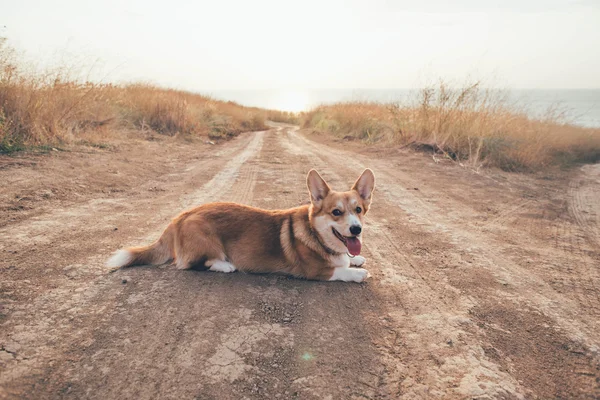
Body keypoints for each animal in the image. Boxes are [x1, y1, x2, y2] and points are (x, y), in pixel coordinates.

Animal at [105, 168, 372, 282]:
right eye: (336, 212)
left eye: (358, 210)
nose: (356, 229)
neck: (316, 233)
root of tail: (179, 217)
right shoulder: (315, 271)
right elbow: (340, 271)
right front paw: (357, 272)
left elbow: (349, 258)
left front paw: (357, 258)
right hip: (208, 240)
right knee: (194, 264)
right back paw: (226, 266)